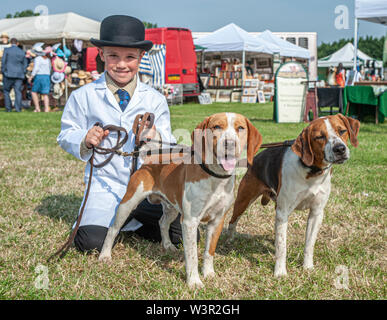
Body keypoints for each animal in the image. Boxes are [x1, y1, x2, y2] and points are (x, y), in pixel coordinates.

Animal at [100, 112, 264, 288]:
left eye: (240, 128)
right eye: (216, 127)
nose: (230, 144)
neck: (215, 178)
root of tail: (151, 157)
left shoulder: (217, 220)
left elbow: (209, 251)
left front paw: (208, 273)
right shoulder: (190, 221)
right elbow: (192, 255)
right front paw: (194, 281)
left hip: (171, 208)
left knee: (162, 223)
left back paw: (167, 245)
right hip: (128, 203)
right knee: (113, 229)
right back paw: (105, 255)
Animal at [227, 114, 360, 276]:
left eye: (342, 131)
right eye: (319, 137)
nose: (339, 149)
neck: (311, 172)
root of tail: (255, 158)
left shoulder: (316, 213)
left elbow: (309, 244)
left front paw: (308, 267)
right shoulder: (283, 212)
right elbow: (282, 247)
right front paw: (280, 272)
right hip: (243, 200)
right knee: (232, 221)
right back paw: (229, 240)